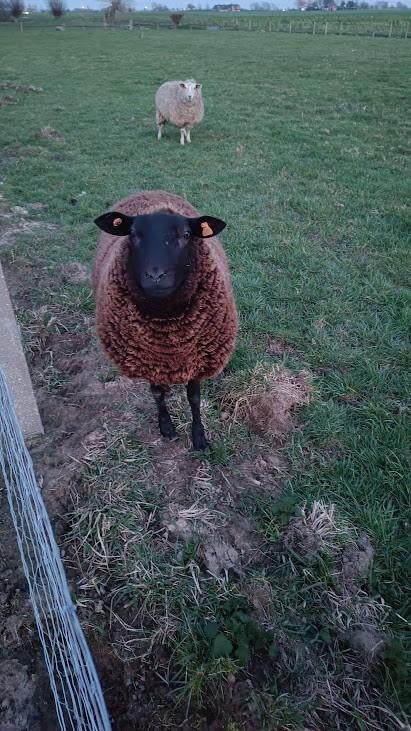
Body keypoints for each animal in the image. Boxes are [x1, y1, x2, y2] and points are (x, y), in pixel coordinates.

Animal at [93, 190, 238, 451]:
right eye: (133, 234)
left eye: (186, 235)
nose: (156, 275)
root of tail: (149, 191)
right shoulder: (148, 361)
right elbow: (157, 394)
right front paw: (166, 426)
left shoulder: (198, 360)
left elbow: (194, 398)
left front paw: (199, 437)